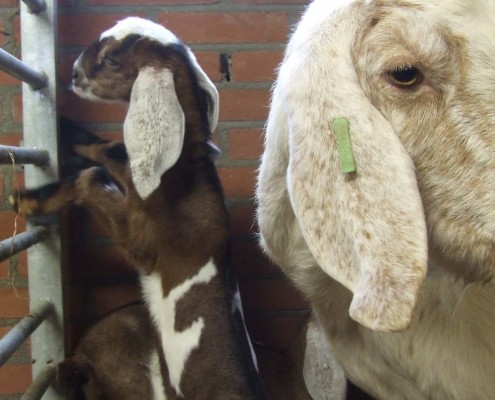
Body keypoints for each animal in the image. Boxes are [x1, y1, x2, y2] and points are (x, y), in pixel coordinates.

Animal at [12, 16, 268, 400]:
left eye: (110, 60)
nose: (73, 74)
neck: (183, 172)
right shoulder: (132, 173)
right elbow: (111, 148)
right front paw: (63, 126)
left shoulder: (143, 242)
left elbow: (93, 176)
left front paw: (26, 199)